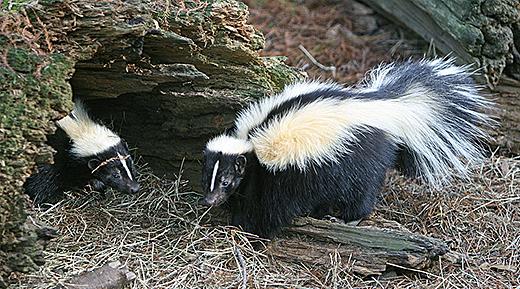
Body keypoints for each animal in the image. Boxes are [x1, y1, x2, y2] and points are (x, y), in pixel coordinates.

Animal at [201, 57, 494, 237]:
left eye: (226, 181)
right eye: (207, 179)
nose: (209, 200)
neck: (250, 145)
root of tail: (387, 107)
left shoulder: (277, 176)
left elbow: (271, 208)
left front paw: (252, 230)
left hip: (361, 158)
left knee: (362, 193)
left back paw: (348, 218)